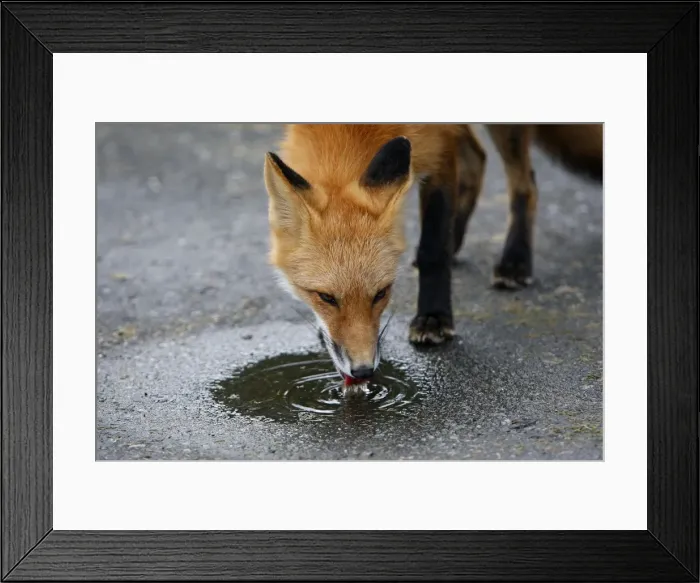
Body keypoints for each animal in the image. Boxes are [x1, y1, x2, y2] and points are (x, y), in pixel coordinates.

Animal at [263, 123, 603, 385]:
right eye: (326, 297)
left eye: (381, 293)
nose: (362, 372)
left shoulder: (440, 144)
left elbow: (433, 249)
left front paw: (434, 317)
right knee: (478, 159)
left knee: (525, 182)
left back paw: (515, 261)